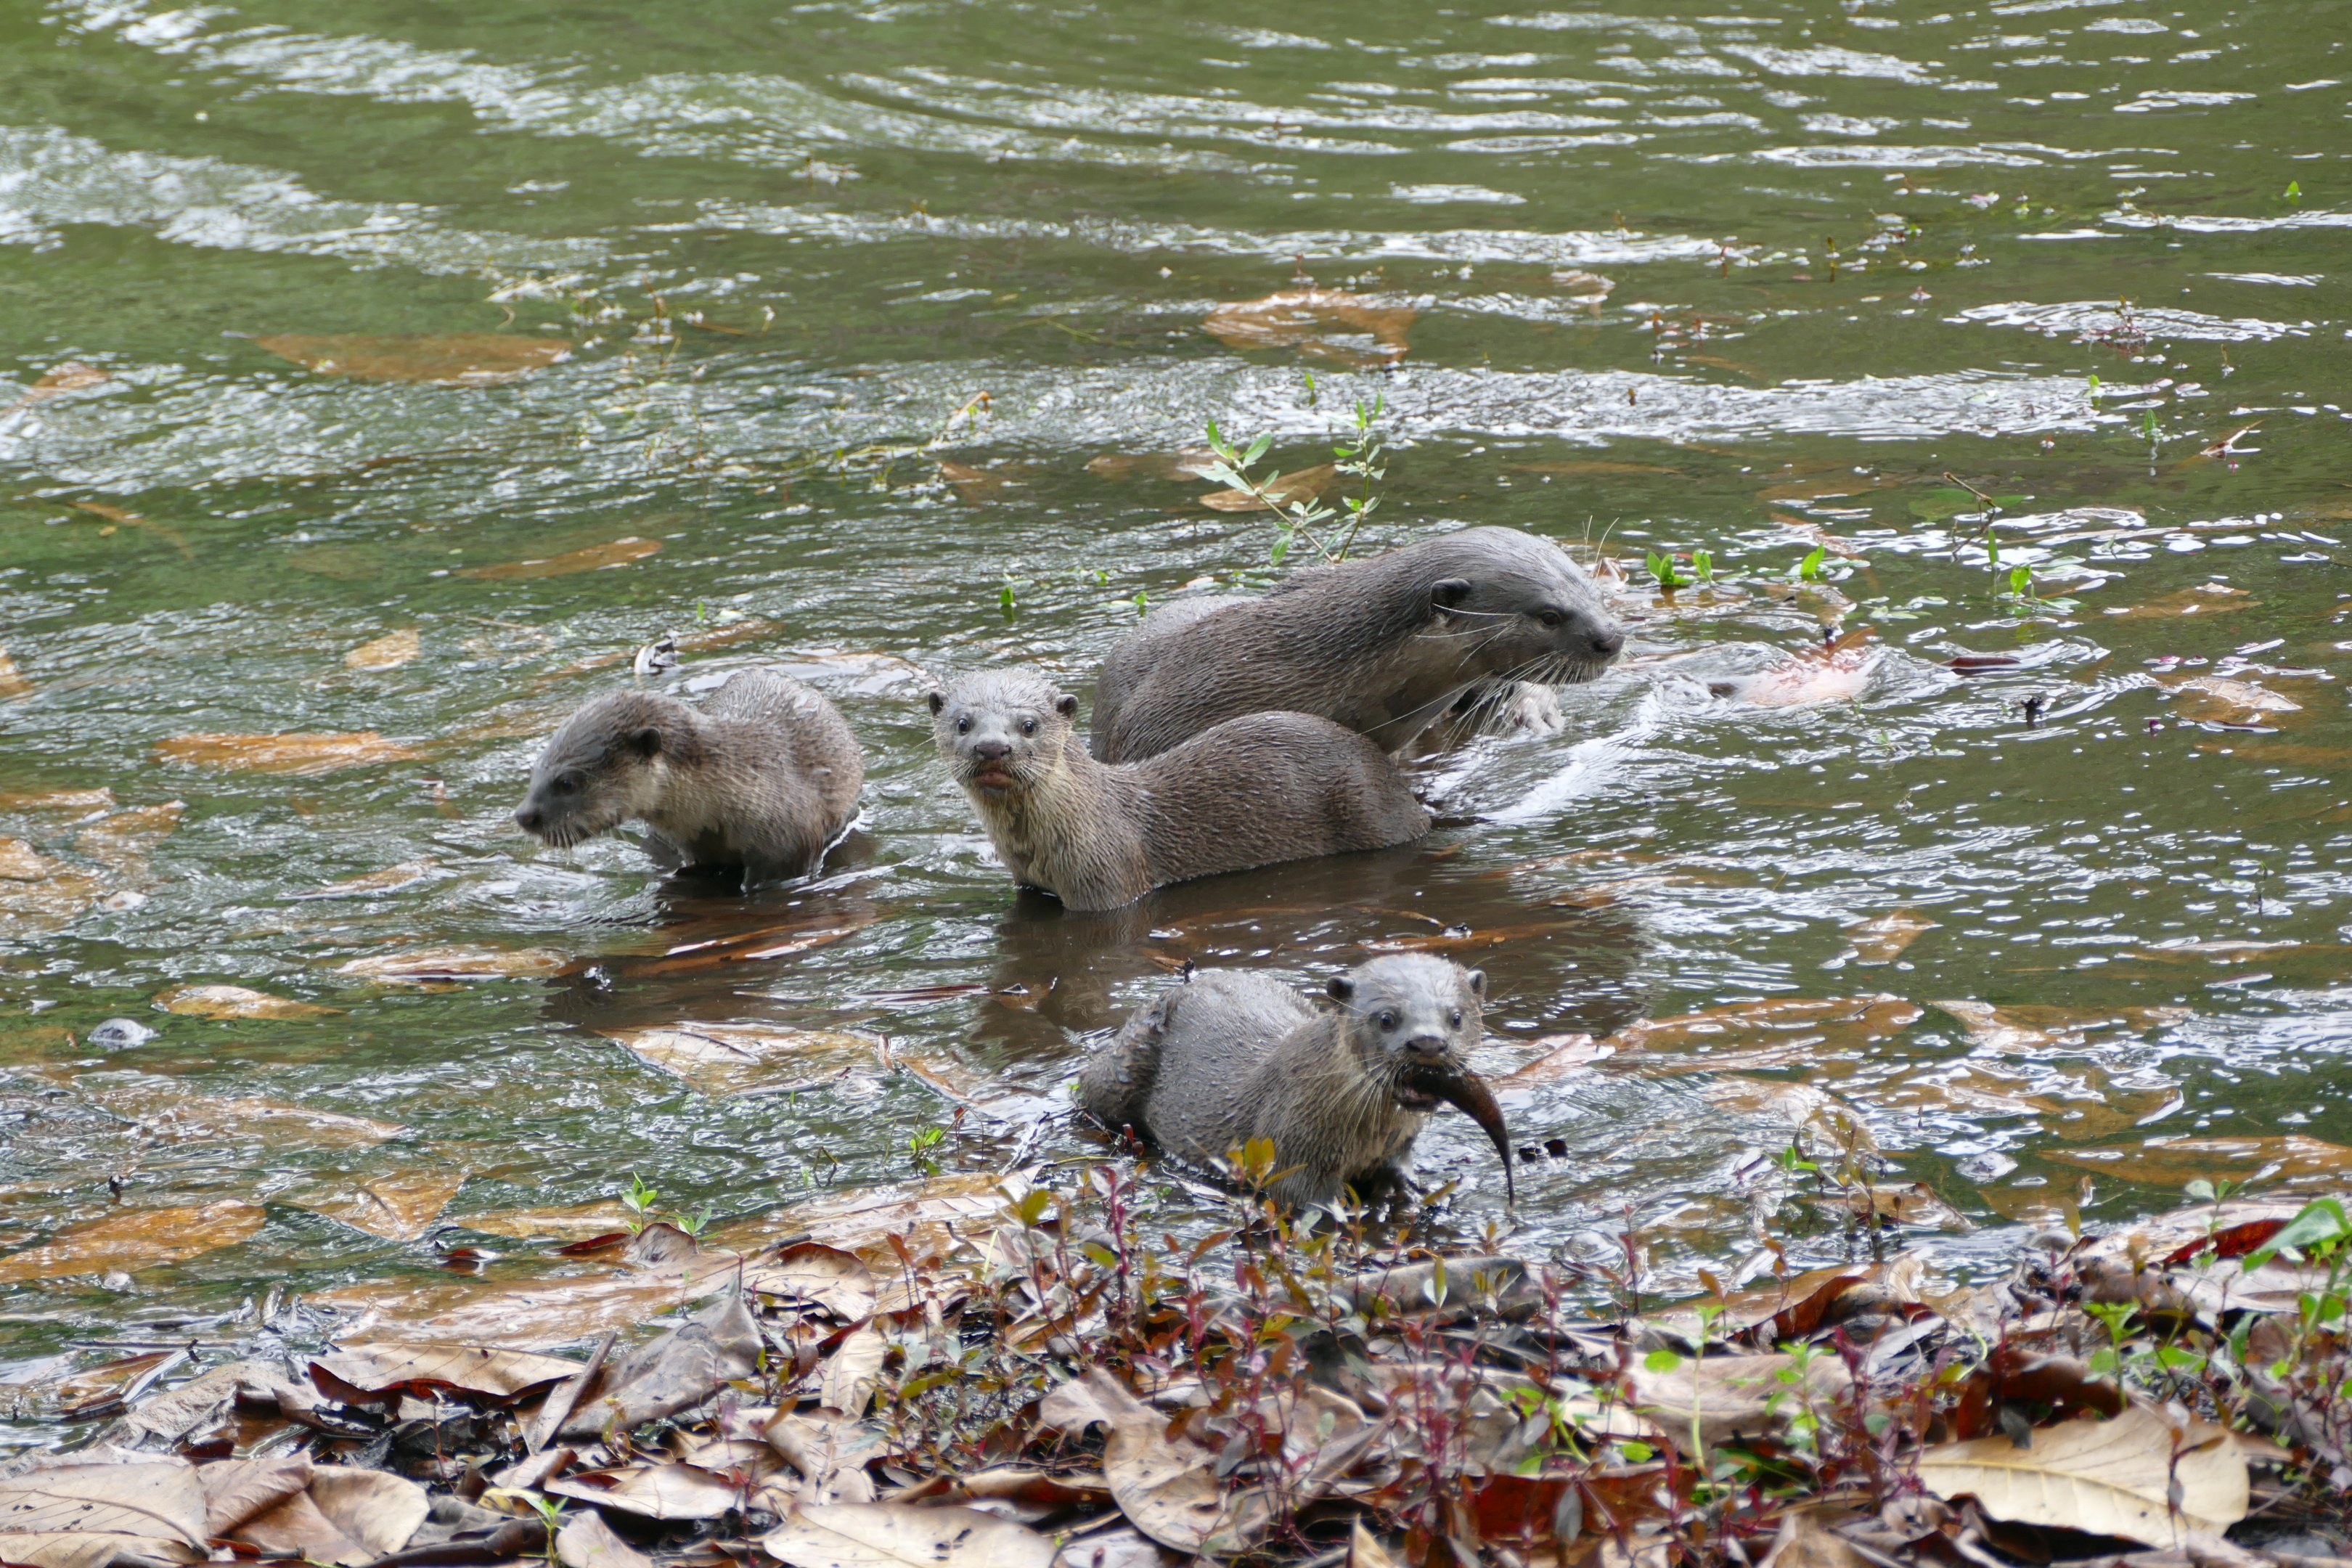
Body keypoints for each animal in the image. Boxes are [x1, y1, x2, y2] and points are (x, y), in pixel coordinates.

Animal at [1078, 955, 1513, 1208]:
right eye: (1386, 1018)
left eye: (1456, 1017)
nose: (1427, 1042)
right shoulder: (1294, 1143)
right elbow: (1300, 1196)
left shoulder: (1397, 1142)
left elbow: (1400, 1164)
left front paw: (1414, 1187)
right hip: (1121, 1070)